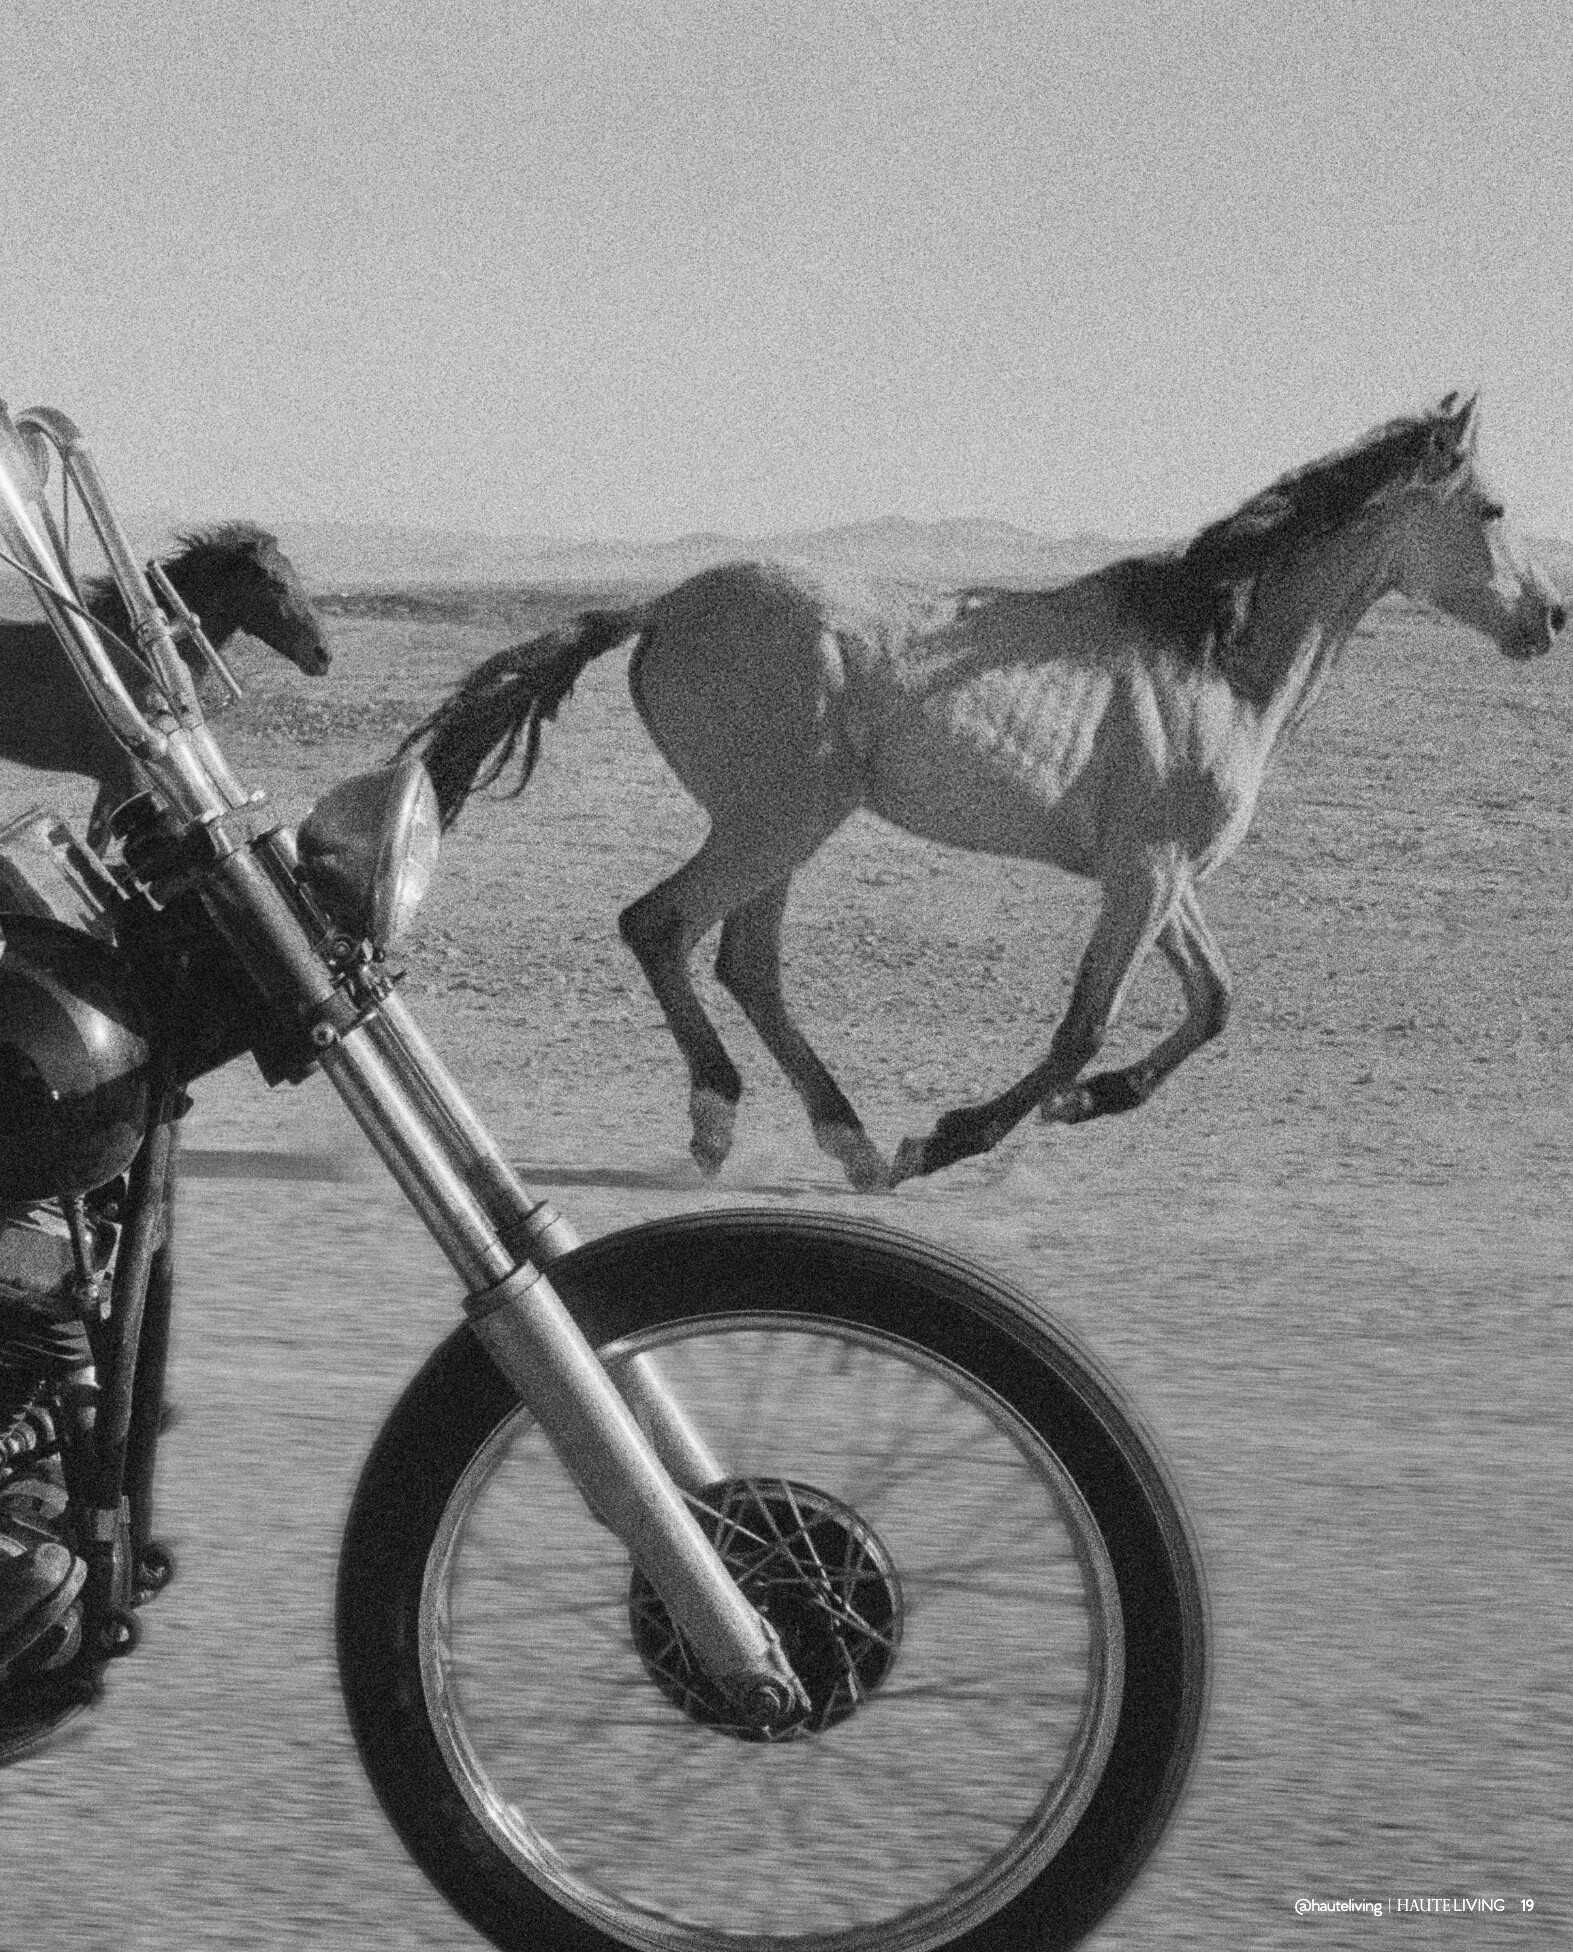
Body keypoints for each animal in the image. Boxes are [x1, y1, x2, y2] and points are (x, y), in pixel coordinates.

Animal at [401, 394, 1565, 1190]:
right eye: (1494, 506)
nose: (1548, 618)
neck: (1213, 656)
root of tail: (659, 609)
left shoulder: (1162, 876)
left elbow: (1214, 1003)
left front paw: (1083, 1107)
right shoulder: (1143, 875)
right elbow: (1084, 1026)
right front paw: (954, 1135)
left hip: (782, 828)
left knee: (744, 961)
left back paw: (848, 1139)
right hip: (777, 820)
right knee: (660, 924)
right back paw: (729, 1119)